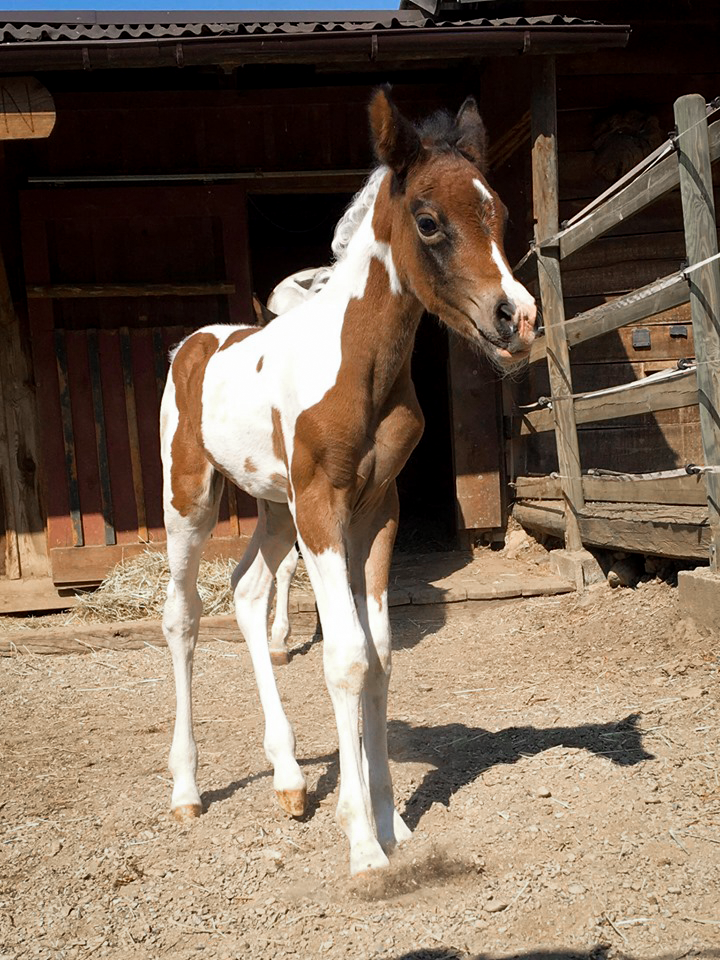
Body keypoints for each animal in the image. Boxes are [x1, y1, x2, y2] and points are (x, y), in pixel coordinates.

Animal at [162, 90, 536, 876]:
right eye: (428, 220)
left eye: (498, 212)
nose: (516, 318)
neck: (358, 364)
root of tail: (197, 342)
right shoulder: (325, 507)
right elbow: (346, 657)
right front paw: (364, 843)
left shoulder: (376, 507)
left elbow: (382, 653)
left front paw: (391, 820)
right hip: (193, 498)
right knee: (182, 615)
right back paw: (186, 789)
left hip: (276, 509)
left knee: (247, 590)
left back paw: (289, 778)